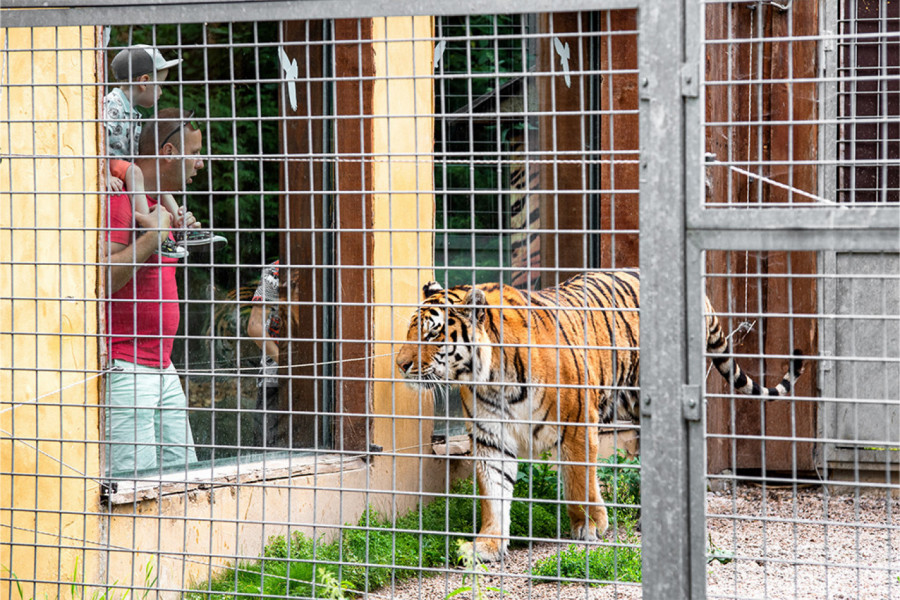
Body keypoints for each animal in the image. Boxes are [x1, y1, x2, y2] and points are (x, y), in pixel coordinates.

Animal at [394, 270, 800, 560]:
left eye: (431, 335)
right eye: (410, 330)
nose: (400, 365)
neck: (492, 376)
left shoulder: (576, 424)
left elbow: (579, 481)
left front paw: (590, 526)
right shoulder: (491, 437)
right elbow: (494, 493)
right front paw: (488, 545)